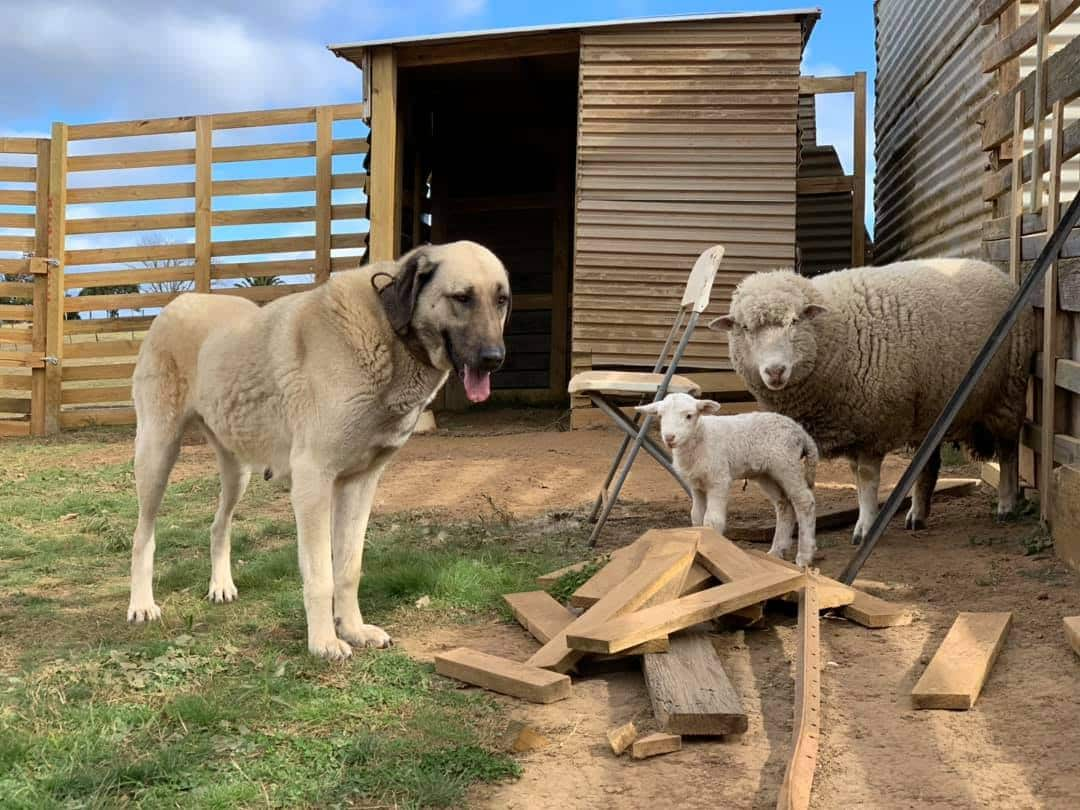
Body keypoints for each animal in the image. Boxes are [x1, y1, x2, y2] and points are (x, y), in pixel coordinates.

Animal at [124, 240, 511, 660]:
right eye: (462, 297)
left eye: (502, 300)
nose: (494, 359)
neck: (389, 333)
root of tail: (179, 301)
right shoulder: (313, 481)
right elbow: (321, 575)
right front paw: (324, 640)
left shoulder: (359, 484)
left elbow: (348, 569)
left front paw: (354, 629)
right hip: (157, 453)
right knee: (142, 535)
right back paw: (142, 604)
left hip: (237, 469)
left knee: (218, 524)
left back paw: (221, 586)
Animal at [630, 393, 816, 565]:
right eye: (660, 416)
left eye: (689, 416)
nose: (669, 438)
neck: (701, 437)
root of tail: (800, 431)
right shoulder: (695, 485)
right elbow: (696, 516)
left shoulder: (718, 479)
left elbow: (712, 520)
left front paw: (713, 549)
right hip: (766, 473)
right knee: (784, 504)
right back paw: (777, 551)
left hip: (786, 463)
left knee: (804, 501)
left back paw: (804, 556)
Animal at [712, 260, 1032, 546]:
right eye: (745, 328)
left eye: (794, 321)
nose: (775, 371)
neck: (834, 332)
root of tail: (994, 269)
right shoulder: (846, 426)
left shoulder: (873, 426)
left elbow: (866, 480)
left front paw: (865, 528)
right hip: (930, 409)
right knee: (928, 463)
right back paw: (918, 514)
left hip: (1008, 392)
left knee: (1008, 452)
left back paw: (1006, 505)